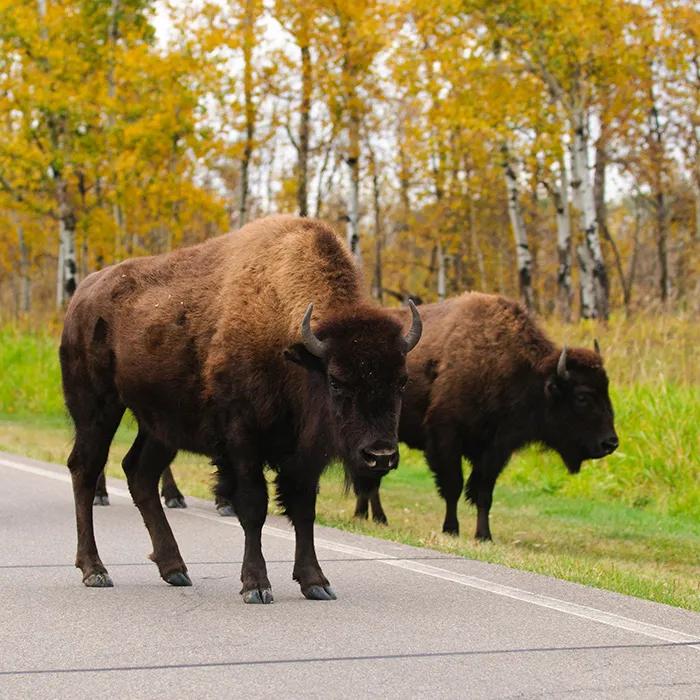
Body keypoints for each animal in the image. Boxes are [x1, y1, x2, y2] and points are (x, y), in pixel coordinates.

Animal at [60, 215, 421, 603]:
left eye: (402, 381)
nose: (380, 456)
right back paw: (95, 570)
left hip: (159, 426)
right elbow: (253, 506)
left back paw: (174, 569)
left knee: (139, 472)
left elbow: (303, 510)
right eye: (337, 380)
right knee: (85, 469)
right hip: (97, 410)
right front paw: (256, 585)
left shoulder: (304, 455)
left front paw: (316, 583)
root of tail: (81, 296)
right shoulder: (242, 440)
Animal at [352, 292, 618, 540]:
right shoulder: (446, 438)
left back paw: (367, 515)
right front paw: (451, 529)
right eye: (582, 396)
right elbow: (453, 486)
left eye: (606, 388)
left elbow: (483, 492)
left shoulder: (496, 449)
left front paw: (484, 535)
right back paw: (376, 517)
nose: (610, 443)